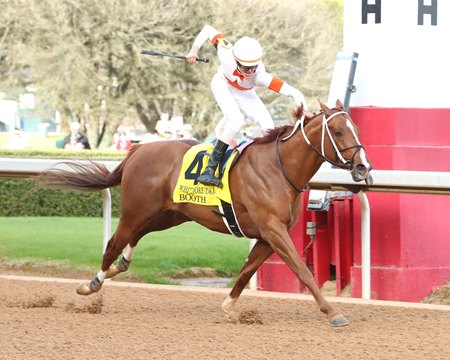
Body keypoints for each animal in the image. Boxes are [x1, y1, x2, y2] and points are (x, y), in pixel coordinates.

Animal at [37, 100, 370, 326]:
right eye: (338, 131)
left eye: (356, 129)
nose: (363, 167)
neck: (278, 168)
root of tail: (137, 150)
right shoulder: (273, 230)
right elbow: (302, 270)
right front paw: (333, 312)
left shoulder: (268, 234)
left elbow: (247, 270)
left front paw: (228, 306)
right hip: (136, 211)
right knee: (112, 244)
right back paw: (90, 284)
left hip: (168, 214)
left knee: (134, 240)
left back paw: (120, 266)